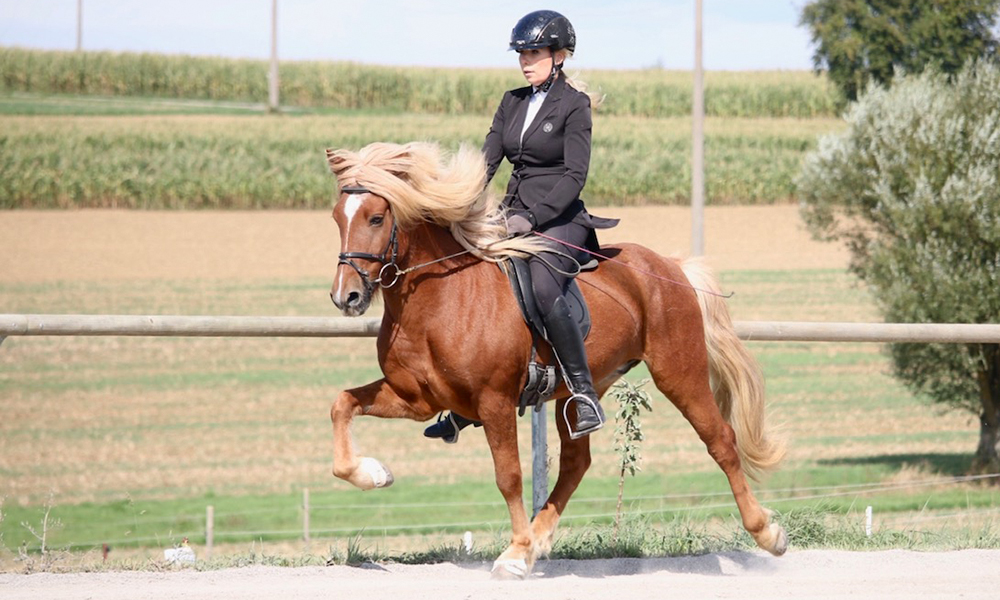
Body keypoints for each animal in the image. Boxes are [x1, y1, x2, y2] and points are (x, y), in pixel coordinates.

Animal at [324, 141, 784, 576]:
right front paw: (372, 473)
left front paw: (515, 553)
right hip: (578, 389)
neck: (440, 300)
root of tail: (670, 266)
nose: (346, 297)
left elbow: (509, 476)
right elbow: (342, 404)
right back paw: (539, 538)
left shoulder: (494, 402)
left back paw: (767, 532)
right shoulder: (416, 398)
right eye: (336, 218)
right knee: (577, 462)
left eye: (376, 219)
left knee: (721, 441)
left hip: (678, 372)